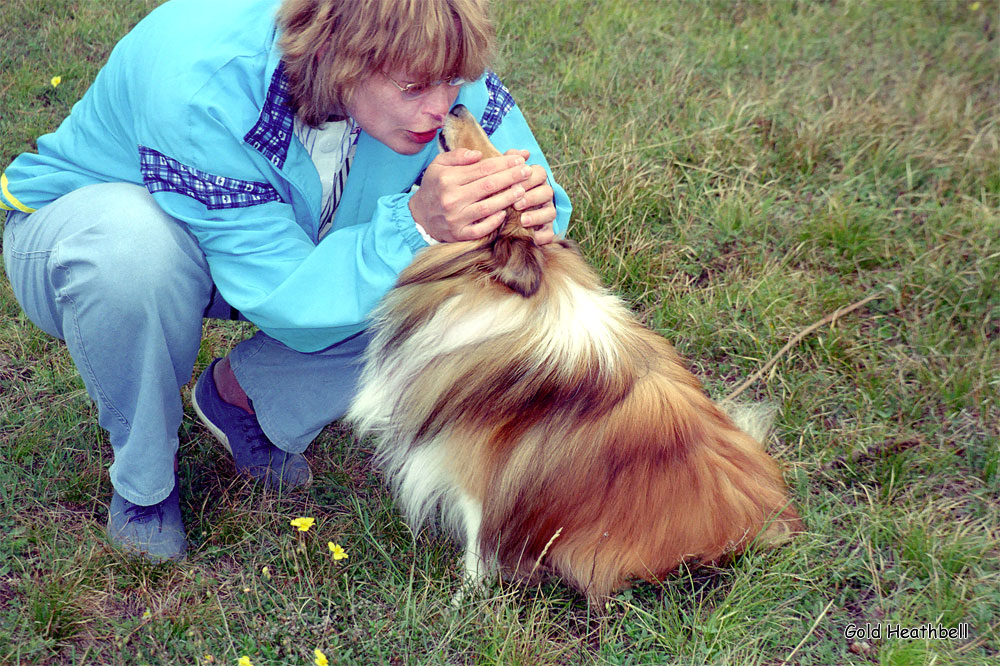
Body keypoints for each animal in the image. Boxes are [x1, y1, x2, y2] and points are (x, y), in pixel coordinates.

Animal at [344, 105, 804, 600]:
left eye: (490, 168)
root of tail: (774, 517)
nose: (458, 106)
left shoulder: (476, 473)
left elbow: (475, 544)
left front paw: (462, 598)